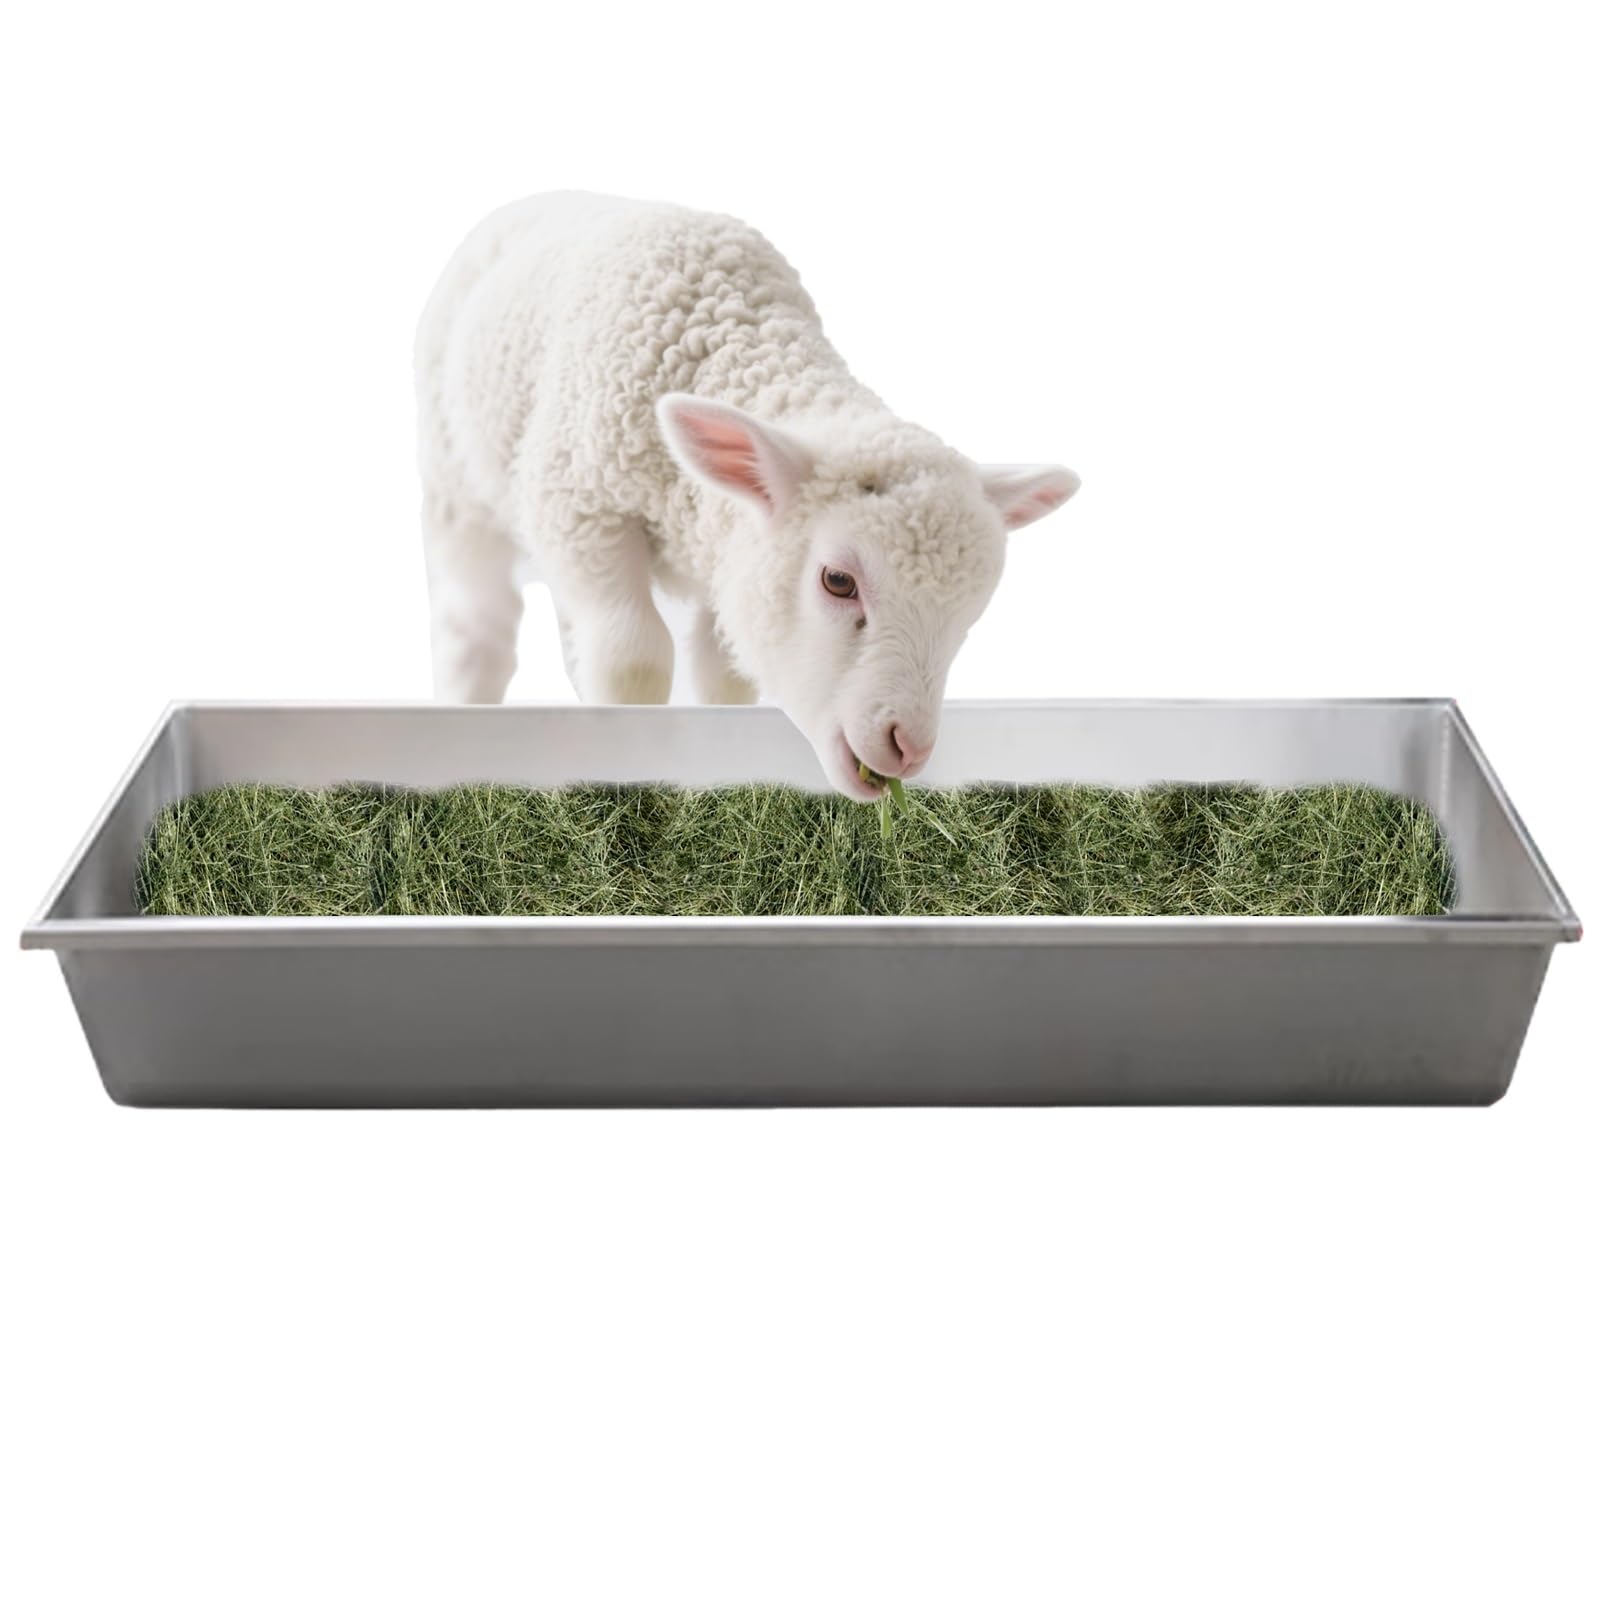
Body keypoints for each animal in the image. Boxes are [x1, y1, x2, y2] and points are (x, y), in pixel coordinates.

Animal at [415, 191, 1079, 799]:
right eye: (838, 581)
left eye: (969, 616)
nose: (908, 748)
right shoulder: (578, 505)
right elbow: (634, 659)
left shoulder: (732, 554)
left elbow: (724, 678)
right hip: (458, 486)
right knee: (479, 629)